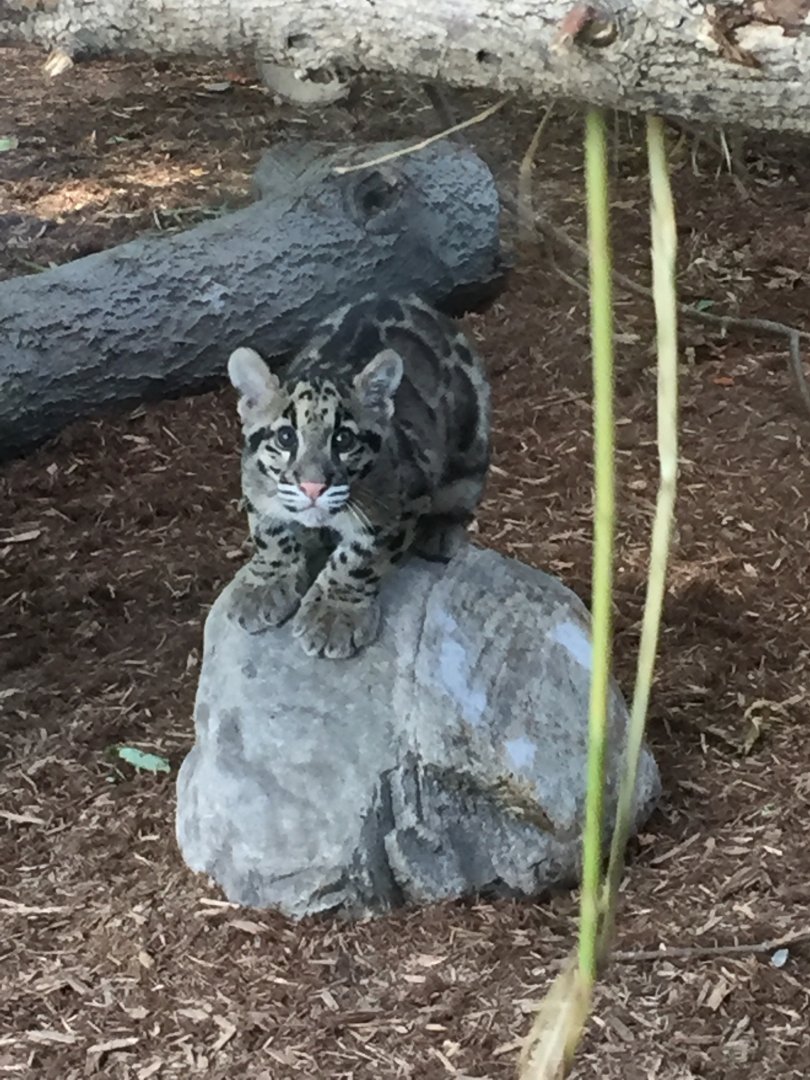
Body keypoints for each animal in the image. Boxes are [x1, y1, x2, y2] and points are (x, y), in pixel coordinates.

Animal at [226, 293, 491, 660]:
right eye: (286, 438)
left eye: (343, 439)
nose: (313, 487)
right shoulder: (254, 484)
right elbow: (270, 534)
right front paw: (265, 582)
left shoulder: (404, 504)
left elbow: (360, 559)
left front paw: (334, 613)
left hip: (472, 439)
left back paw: (440, 532)